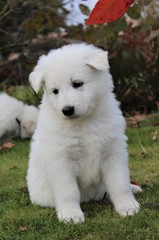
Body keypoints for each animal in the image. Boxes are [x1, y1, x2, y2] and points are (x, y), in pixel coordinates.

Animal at [26, 43, 140, 223]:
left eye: (77, 83)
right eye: (55, 91)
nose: (67, 110)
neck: (83, 122)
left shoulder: (113, 152)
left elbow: (120, 183)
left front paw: (128, 206)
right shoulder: (61, 159)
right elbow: (68, 190)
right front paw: (71, 215)